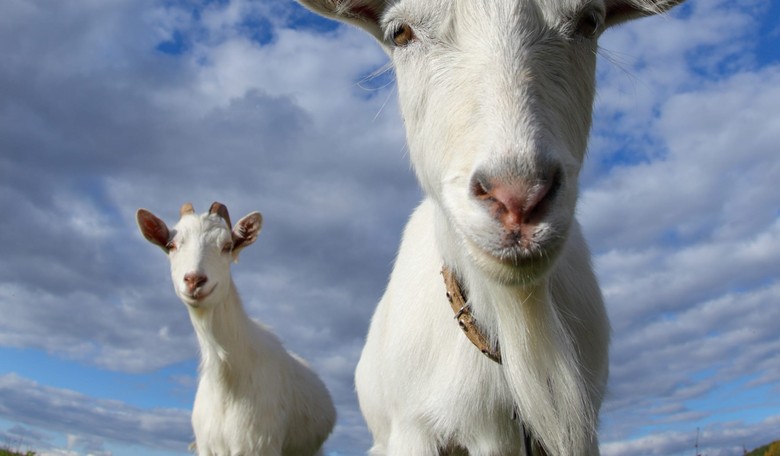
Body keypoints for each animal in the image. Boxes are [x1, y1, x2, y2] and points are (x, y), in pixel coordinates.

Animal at [136, 202, 336, 456]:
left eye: (227, 246)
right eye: (171, 245)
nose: (194, 280)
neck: (228, 378)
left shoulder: (259, 445)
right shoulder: (207, 446)